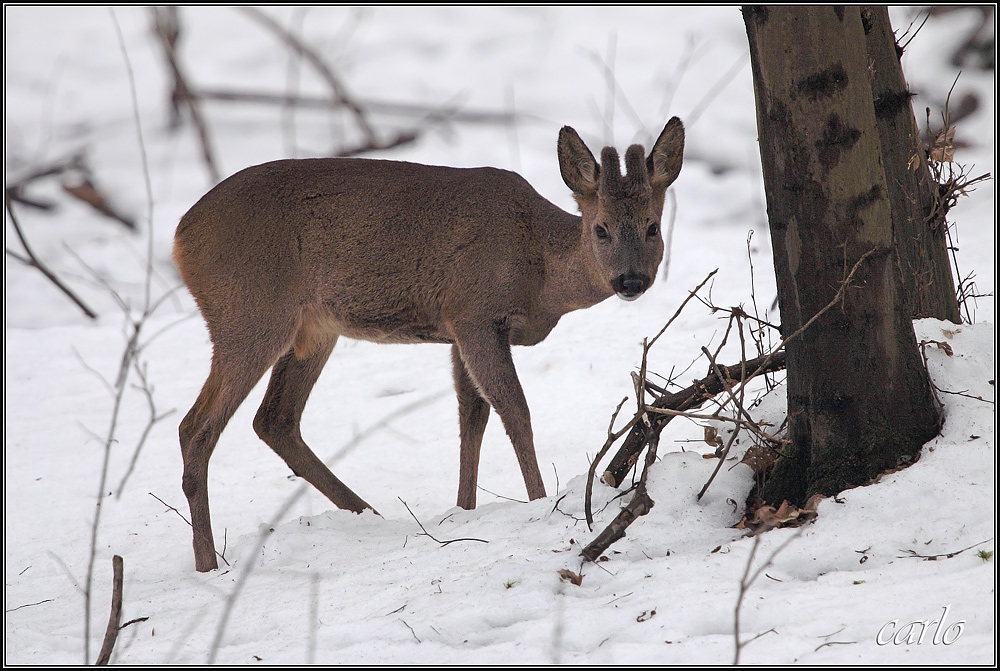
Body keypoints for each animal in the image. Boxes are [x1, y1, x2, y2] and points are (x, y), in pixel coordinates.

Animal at [176, 118, 684, 568]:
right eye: (601, 229)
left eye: (653, 226)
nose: (631, 280)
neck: (539, 269)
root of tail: (180, 238)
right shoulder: (476, 312)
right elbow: (514, 409)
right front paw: (540, 503)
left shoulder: (457, 328)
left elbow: (472, 416)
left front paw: (464, 512)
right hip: (250, 314)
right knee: (195, 427)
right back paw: (207, 563)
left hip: (312, 330)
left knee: (274, 419)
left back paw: (367, 513)